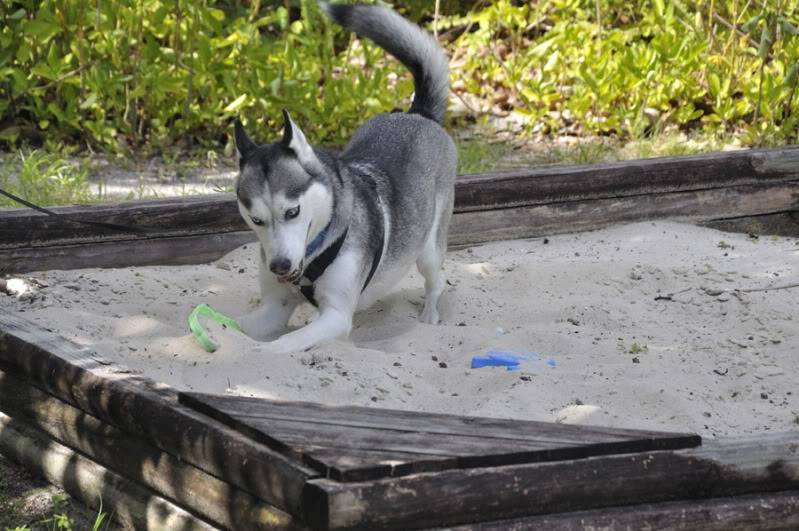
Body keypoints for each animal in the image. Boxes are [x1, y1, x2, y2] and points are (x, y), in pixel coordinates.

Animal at [231, 4, 456, 356]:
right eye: (256, 220)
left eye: (293, 212)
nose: (279, 266)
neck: (314, 253)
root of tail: (417, 114)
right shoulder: (274, 308)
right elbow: (235, 327)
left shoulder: (335, 316)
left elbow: (285, 342)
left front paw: (261, 352)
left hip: (429, 249)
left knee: (437, 280)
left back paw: (430, 316)